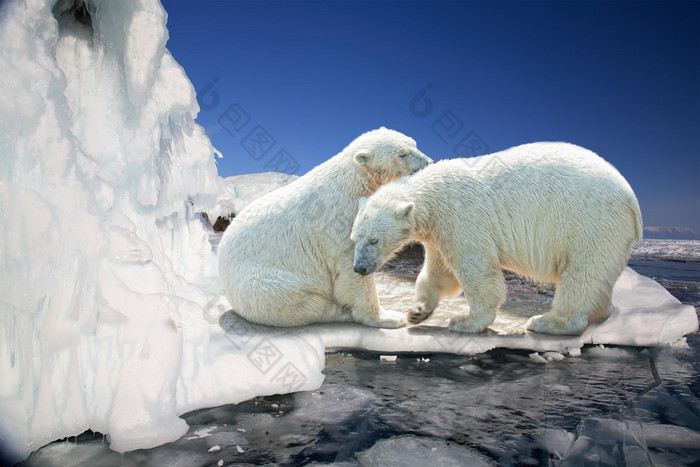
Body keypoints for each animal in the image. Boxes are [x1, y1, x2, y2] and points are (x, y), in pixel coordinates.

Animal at [217, 126, 432, 328]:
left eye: (414, 143)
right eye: (402, 153)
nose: (428, 163)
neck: (354, 182)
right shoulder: (341, 221)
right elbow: (350, 270)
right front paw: (387, 317)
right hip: (264, 282)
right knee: (298, 302)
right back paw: (342, 312)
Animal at [352, 143, 644, 336]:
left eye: (374, 240)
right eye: (355, 238)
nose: (360, 268)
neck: (432, 193)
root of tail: (631, 198)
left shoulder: (462, 216)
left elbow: (476, 269)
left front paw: (465, 322)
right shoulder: (439, 231)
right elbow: (439, 272)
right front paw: (417, 311)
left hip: (591, 222)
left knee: (581, 274)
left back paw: (547, 322)